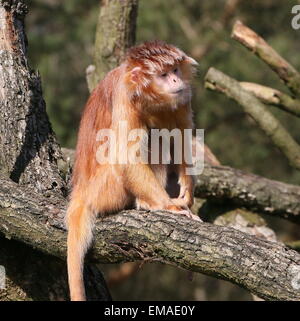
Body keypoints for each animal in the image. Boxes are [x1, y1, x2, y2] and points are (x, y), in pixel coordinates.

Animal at [65, 40, 199, 300]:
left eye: (175, 70)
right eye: (163, 75)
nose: (175, 80)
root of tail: (80, 193)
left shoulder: (182, 98)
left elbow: (181, 136)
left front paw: (187, 191)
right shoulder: (123, 97)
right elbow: (126, 156)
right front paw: (169, 206)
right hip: (106, 188)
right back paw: (146, 202)